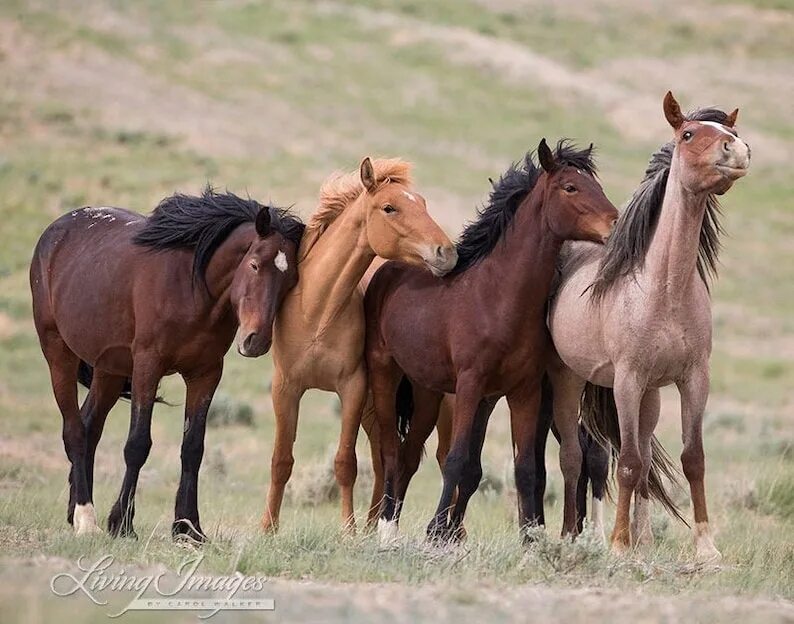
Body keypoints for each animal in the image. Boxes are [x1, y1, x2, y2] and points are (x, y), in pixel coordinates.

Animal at [31, 186, 304, 540]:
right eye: (255, 265)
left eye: (291, 279)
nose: (256, 341)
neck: (189, 288)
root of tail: (54, 232)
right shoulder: (148, 365)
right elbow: (137, 445)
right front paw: (122, 523)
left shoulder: (205, 374)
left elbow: (193, 448)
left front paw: (188, 528)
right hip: (58, 354)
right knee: (74, 431)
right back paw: (86, 519)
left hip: (109, 370)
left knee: (90, 427)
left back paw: (74, 512)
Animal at [260, 156, 454, 532]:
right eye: (390, 207)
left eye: (422, 203)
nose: (447, 252)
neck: (317, 311)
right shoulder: (286, 389)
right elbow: (280, 460)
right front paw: (268, 528)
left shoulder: (351, 388)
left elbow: (345, 463)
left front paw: (347, 530)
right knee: (383, 458)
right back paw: (372, 525)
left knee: (440, 456)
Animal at [362, 139, 616, 544]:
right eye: (571, 187)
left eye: (597, 186)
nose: (615, 223)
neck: (497, 297)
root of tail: (388, 269)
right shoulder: (471, 385)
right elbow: (457, 459)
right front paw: (437, 533)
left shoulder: (523, 391)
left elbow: (525, 467)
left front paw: (530, 539)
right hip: (385, 374)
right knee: (389, 450)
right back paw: (387, 528)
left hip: (427, 391)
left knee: (409, 452)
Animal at [544, 91, 748, 560]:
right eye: (688, 133)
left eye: (731, 130)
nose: (738, 151)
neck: (665, 288)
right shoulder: (628, 380)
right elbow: (629, 462)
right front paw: (619, 546)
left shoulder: (693, 379)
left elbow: (693, 458)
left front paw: (706, 548)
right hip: (570, 382)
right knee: (575, 457)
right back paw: (574, 537)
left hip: (651, 397)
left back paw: (643, 539)